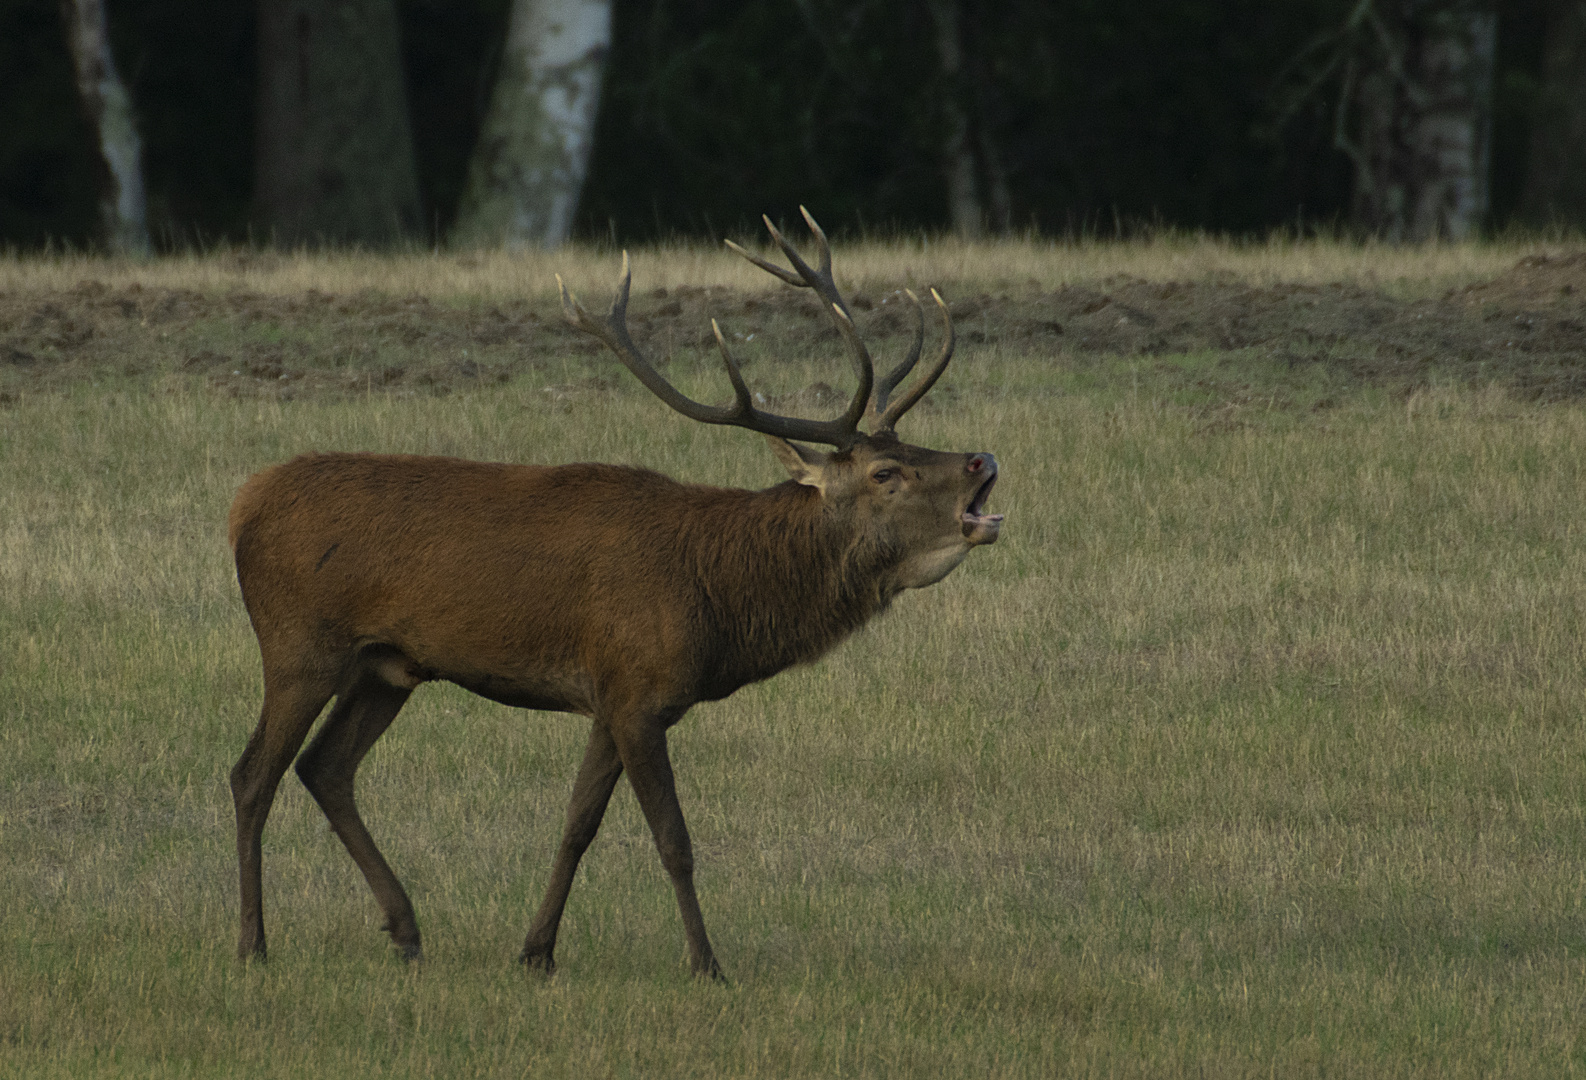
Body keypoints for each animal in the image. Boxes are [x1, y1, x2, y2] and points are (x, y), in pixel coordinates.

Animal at [226, 210, 1002, 976]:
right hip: (299, 644)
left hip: (387, 667)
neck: (719, 600)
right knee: (252, 775)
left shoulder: (610, 697)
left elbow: (577, 825)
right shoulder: (639, 692)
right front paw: (706, 963)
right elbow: (673, 840)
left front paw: (536, 952)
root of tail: (243, 504)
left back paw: (406, 930)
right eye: (884, 473)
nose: (983, 458)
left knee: (325, 768)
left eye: (913, 448)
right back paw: (254, 945)